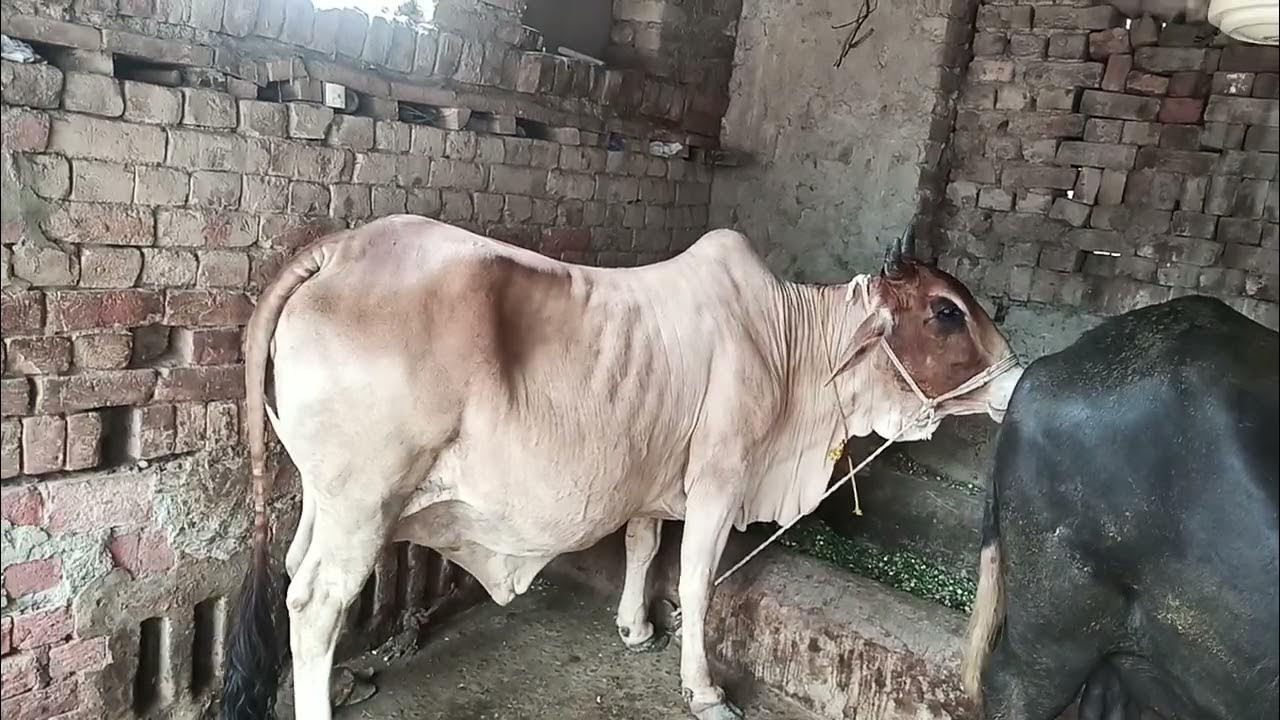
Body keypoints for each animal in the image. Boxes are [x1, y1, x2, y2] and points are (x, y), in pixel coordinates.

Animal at [220, 215, 1024, 720]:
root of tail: (338, 250)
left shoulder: (652, 478)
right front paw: (704, 690)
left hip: (325, 497)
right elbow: (697, 584)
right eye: (946, 311)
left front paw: (635, 628)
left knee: (293, 574)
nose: (1019, 377)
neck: (789, 345)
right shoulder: (719, 481)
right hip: (364, 501)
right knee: (317, 602)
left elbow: (641, 547)